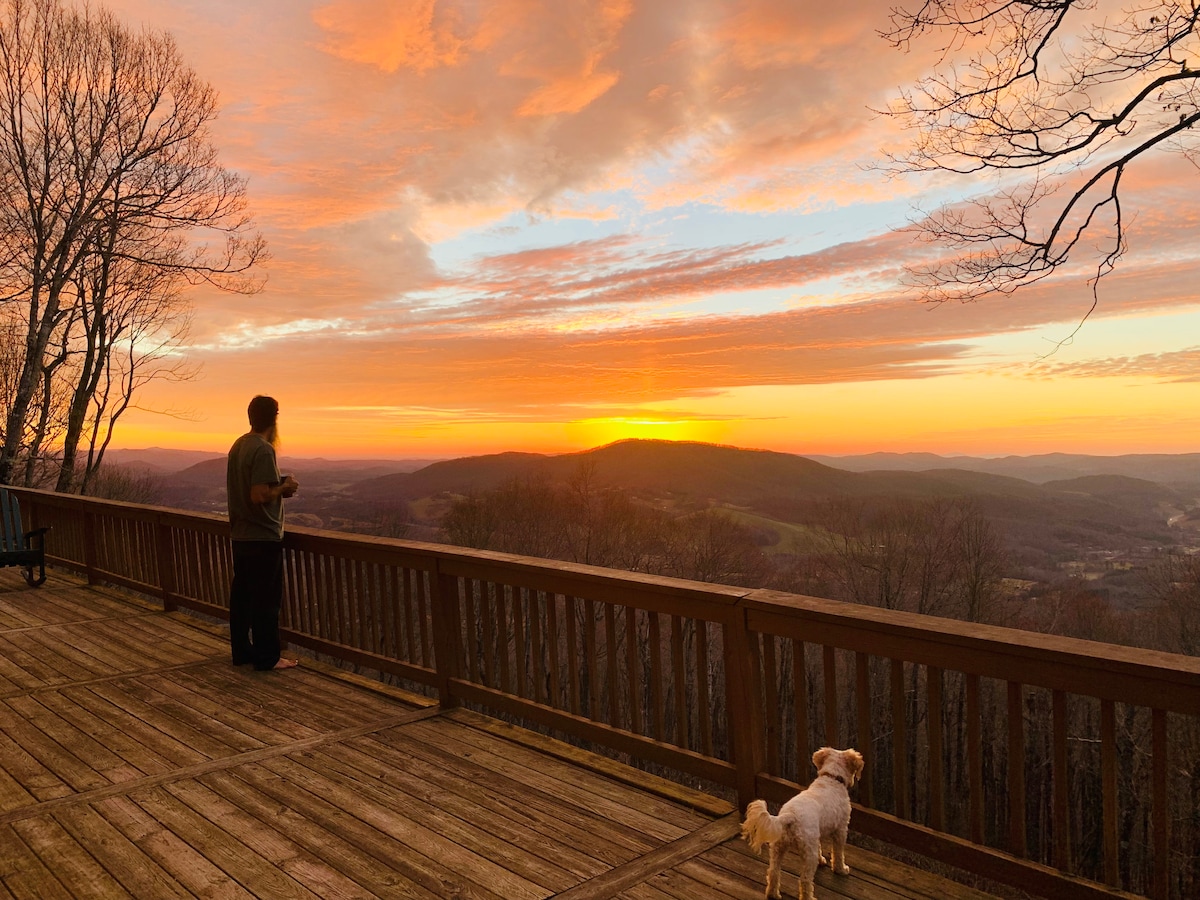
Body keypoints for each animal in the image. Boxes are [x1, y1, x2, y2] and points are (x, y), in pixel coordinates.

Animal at [739, 748, 864, 900]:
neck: (832, 778)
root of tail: (790, 816)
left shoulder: (817, 833)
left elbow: (820, 846)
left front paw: (822, 860)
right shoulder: (841, 829)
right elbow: (838, 852)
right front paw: (841, 869)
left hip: (777, 847)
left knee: (773, 872)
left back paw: (773, 894)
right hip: (808, 853)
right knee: (804, 880)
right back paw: (809, 897)